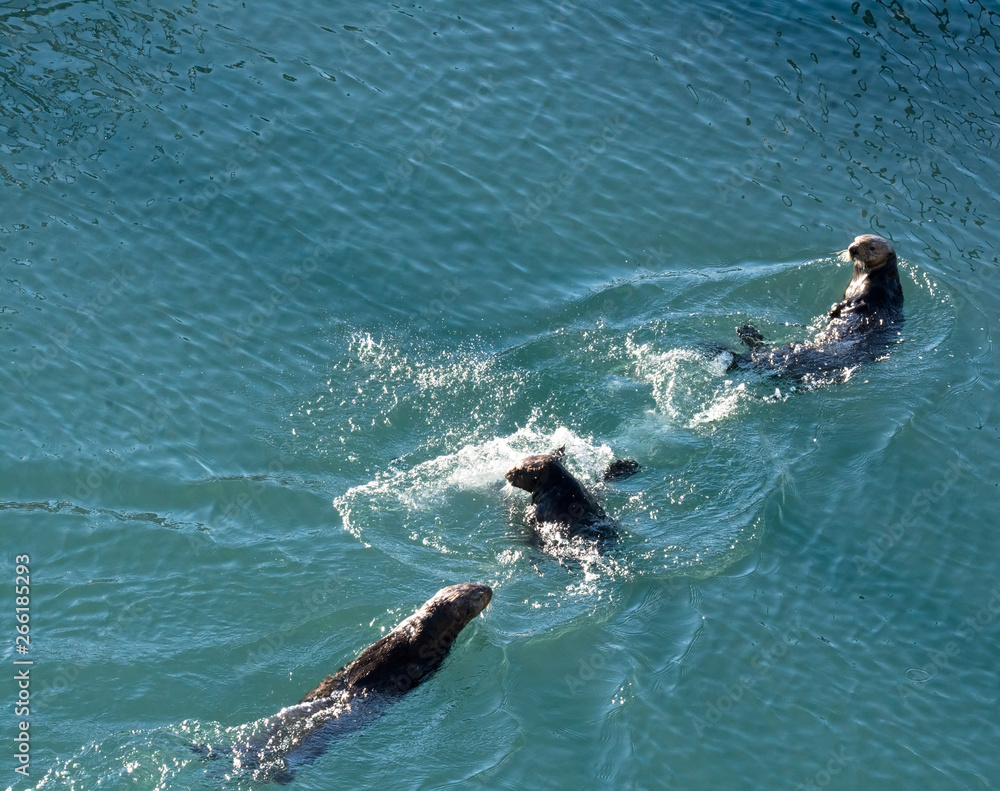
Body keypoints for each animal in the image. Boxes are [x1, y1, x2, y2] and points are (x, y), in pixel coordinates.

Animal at [732, 234, 904, 379]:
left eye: (872, 247)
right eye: (856, 239)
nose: (852, 248)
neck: (860, 280)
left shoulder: (876, 291)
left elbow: (859, 303)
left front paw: (835, 310)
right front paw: (833, 310)